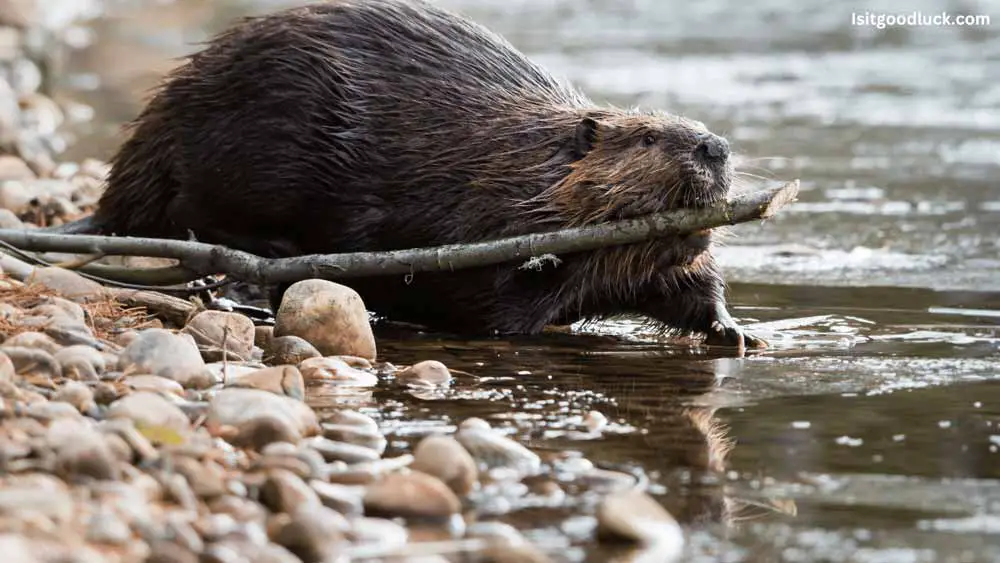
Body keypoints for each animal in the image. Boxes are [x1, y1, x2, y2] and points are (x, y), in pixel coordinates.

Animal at [66, 0, 764, 350]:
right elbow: (485, 296)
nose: (716, 146)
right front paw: (539, 271)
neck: (520, 158)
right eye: (647, 136)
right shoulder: (470, 207)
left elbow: (689, 286)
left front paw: (737, 334)